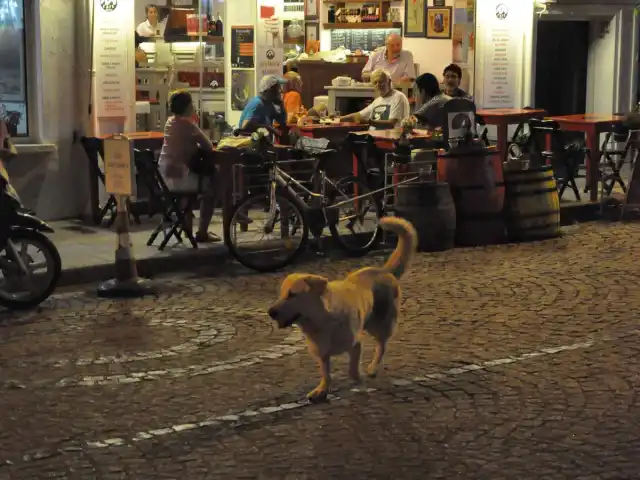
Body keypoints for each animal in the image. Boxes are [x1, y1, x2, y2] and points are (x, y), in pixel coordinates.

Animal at [268, 218, 418, 402]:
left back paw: (373, 368)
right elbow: (326, 374)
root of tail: (384, 270)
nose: (270, 312)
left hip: (380, 324)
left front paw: (359, 381)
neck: (322, 320)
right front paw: (322, 390)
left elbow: (352, 370)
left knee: (382, 346)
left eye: (292, 294)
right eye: (282, 294)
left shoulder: (355, 345)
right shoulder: (322, 353)